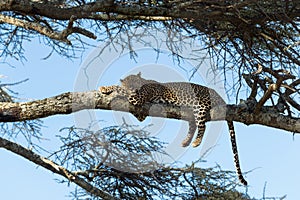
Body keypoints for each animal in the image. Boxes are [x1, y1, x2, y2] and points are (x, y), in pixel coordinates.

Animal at [99, 72, 247, 186]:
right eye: (129, 83)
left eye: (136, 82)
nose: (134, 89)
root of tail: (219, 96)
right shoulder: (141, 113)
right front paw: (106, 88)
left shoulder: (138, 98)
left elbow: (120, 89)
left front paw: (106, 88)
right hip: (190, 112)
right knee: (193, 125)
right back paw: (186, 142)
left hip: (200, 105)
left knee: (202, 125)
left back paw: (196, 142)